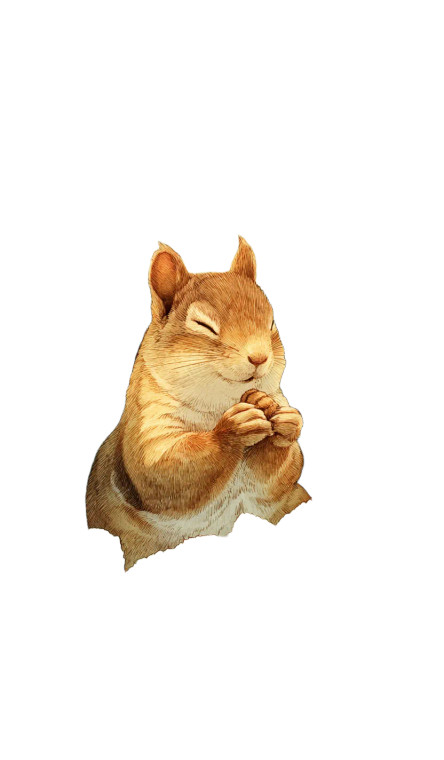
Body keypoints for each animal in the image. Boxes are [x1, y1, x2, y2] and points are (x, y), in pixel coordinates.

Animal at [86, 237, 310, 569]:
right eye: (203, 325)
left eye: (272, 323)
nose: (259, 357)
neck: (221, 403)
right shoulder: (146, 428)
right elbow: (161, 471)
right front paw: (234, 429)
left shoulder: (271, 489)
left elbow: (278, 477)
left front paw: (286, 422)